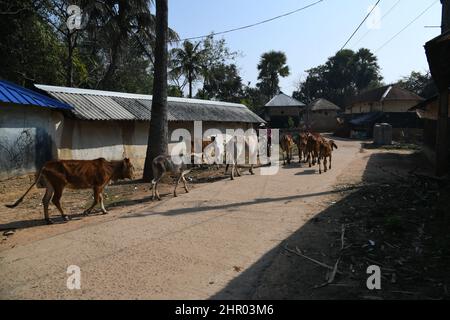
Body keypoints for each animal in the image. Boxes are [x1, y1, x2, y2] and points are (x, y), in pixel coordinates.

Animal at [5, 158, 134, 224]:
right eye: (131, 167)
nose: (133, 176)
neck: (110, 168)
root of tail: (46, 165)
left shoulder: (101, 186)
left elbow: (100, 198)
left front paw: (104, 211)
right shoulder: (97, 186)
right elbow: (97, 199)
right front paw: (86, 212)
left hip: (50, 186)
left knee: (46, 200)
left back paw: (48, 219)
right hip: (59, 185)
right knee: (55, 200)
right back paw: (65, 216)